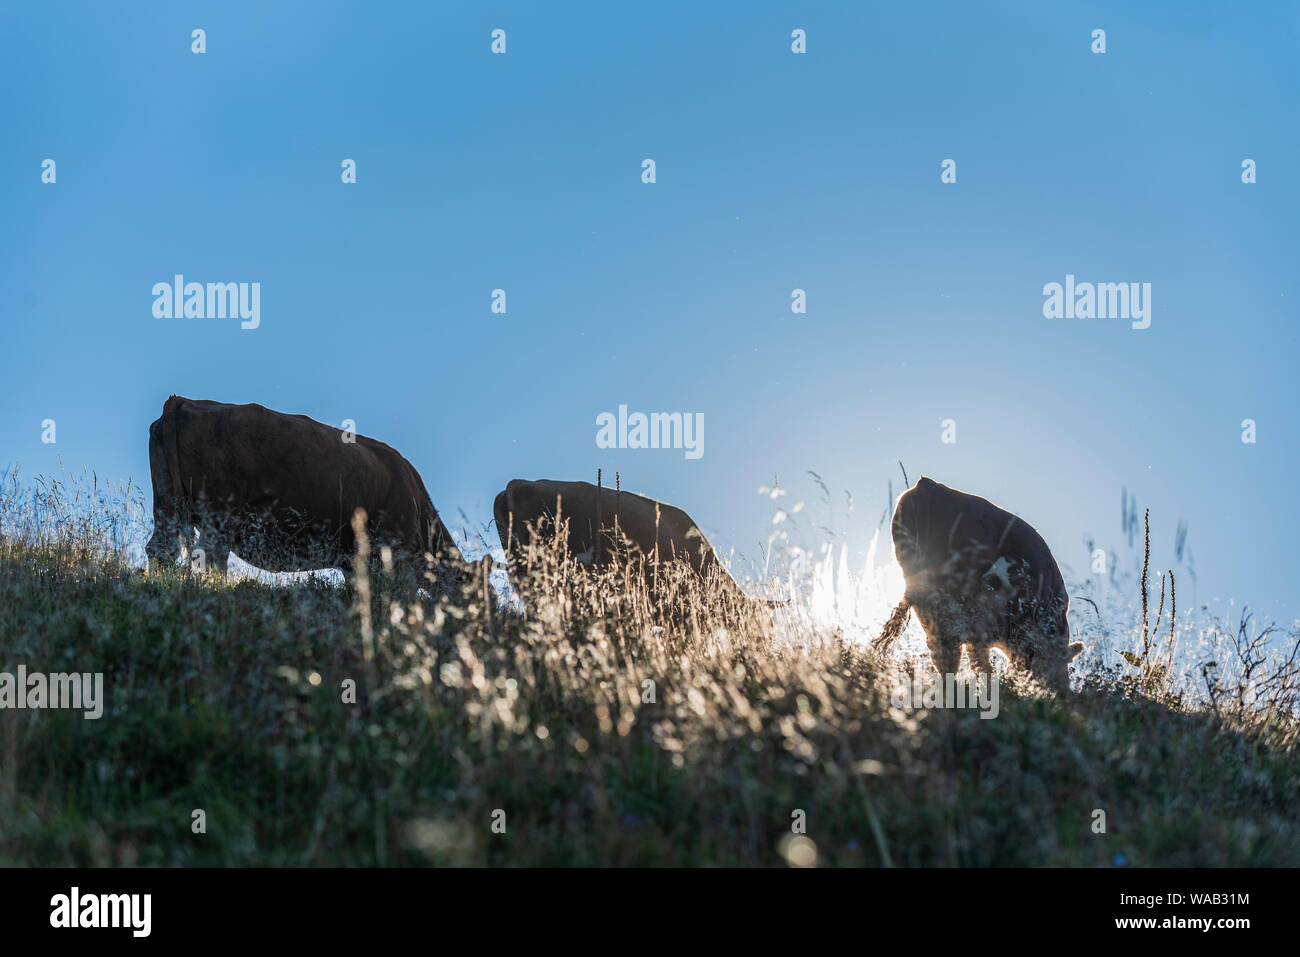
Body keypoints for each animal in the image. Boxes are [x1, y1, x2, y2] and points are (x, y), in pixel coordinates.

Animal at [144, 392, 462, 579]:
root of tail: (181, 400)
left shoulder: (353, 563)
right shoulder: (397, 555)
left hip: (167, 504)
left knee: (160, 549)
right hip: (218, 514)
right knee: (210, 557)